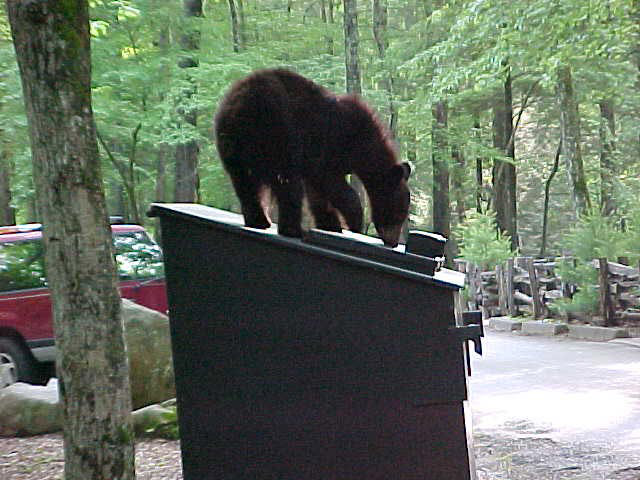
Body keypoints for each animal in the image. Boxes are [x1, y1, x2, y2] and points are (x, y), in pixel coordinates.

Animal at [215, 68, 410, 248]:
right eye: (399, 213)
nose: (393, 242)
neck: (364, 146)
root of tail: (238, 108)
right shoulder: (331, 144)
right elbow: (330, 182)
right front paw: (354, 221)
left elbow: (317, 193)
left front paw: (331, 224)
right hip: (279, 136)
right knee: (288, 185)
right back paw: (293, 229)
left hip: (234, 150)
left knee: (246, 184)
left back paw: (258, 220)